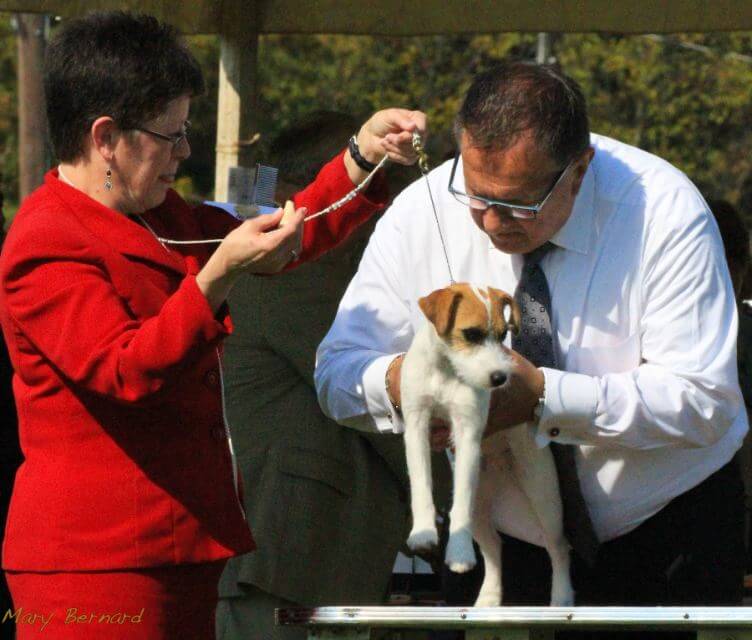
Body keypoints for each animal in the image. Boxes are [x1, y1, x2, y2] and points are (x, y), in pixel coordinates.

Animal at [402, 284, 572, 604]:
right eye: (471, 334)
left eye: (504, 335)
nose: (500, 378)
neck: (447, 371)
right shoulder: (416, 425)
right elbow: (421, 486)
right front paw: (423, 532)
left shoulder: (468, 430)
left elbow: (459, 506)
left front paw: (458, 552)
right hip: (481, 509)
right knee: (494, 547)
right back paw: (489, 596)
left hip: (545, 500)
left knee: (558, 548)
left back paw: (562, 597)